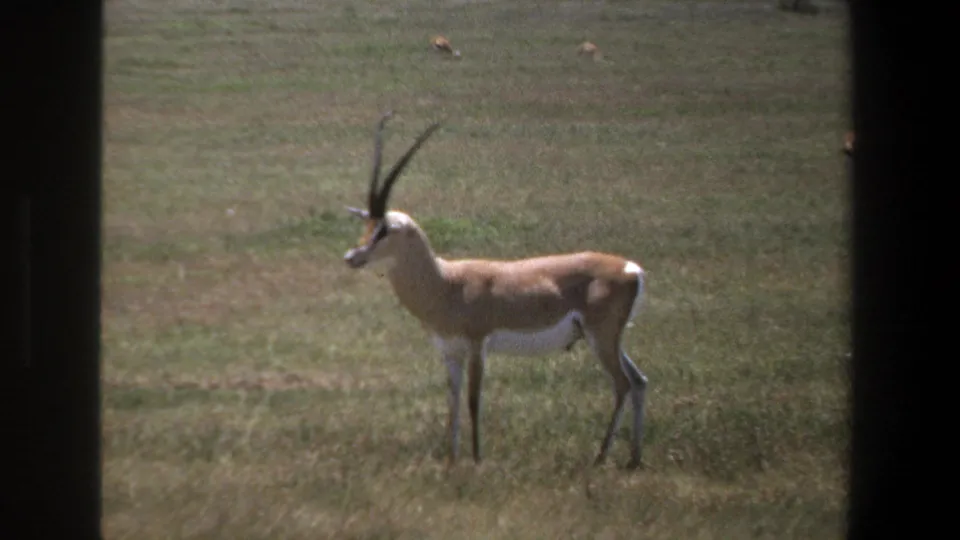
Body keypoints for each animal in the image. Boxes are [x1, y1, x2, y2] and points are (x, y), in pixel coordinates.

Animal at [342, 112, 650, 470]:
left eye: (384, 230)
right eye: (366, 225)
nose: (352, 256)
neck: (447, 284)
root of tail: (631, 268)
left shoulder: (478, 345)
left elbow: (473, 400)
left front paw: (476, 459)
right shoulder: (450, 352)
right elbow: (452, 402)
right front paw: (452, 459)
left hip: (601, 338)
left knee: (623, 384)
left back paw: (600, 458)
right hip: (606, 339)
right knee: (639, 382)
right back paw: (633, 459)